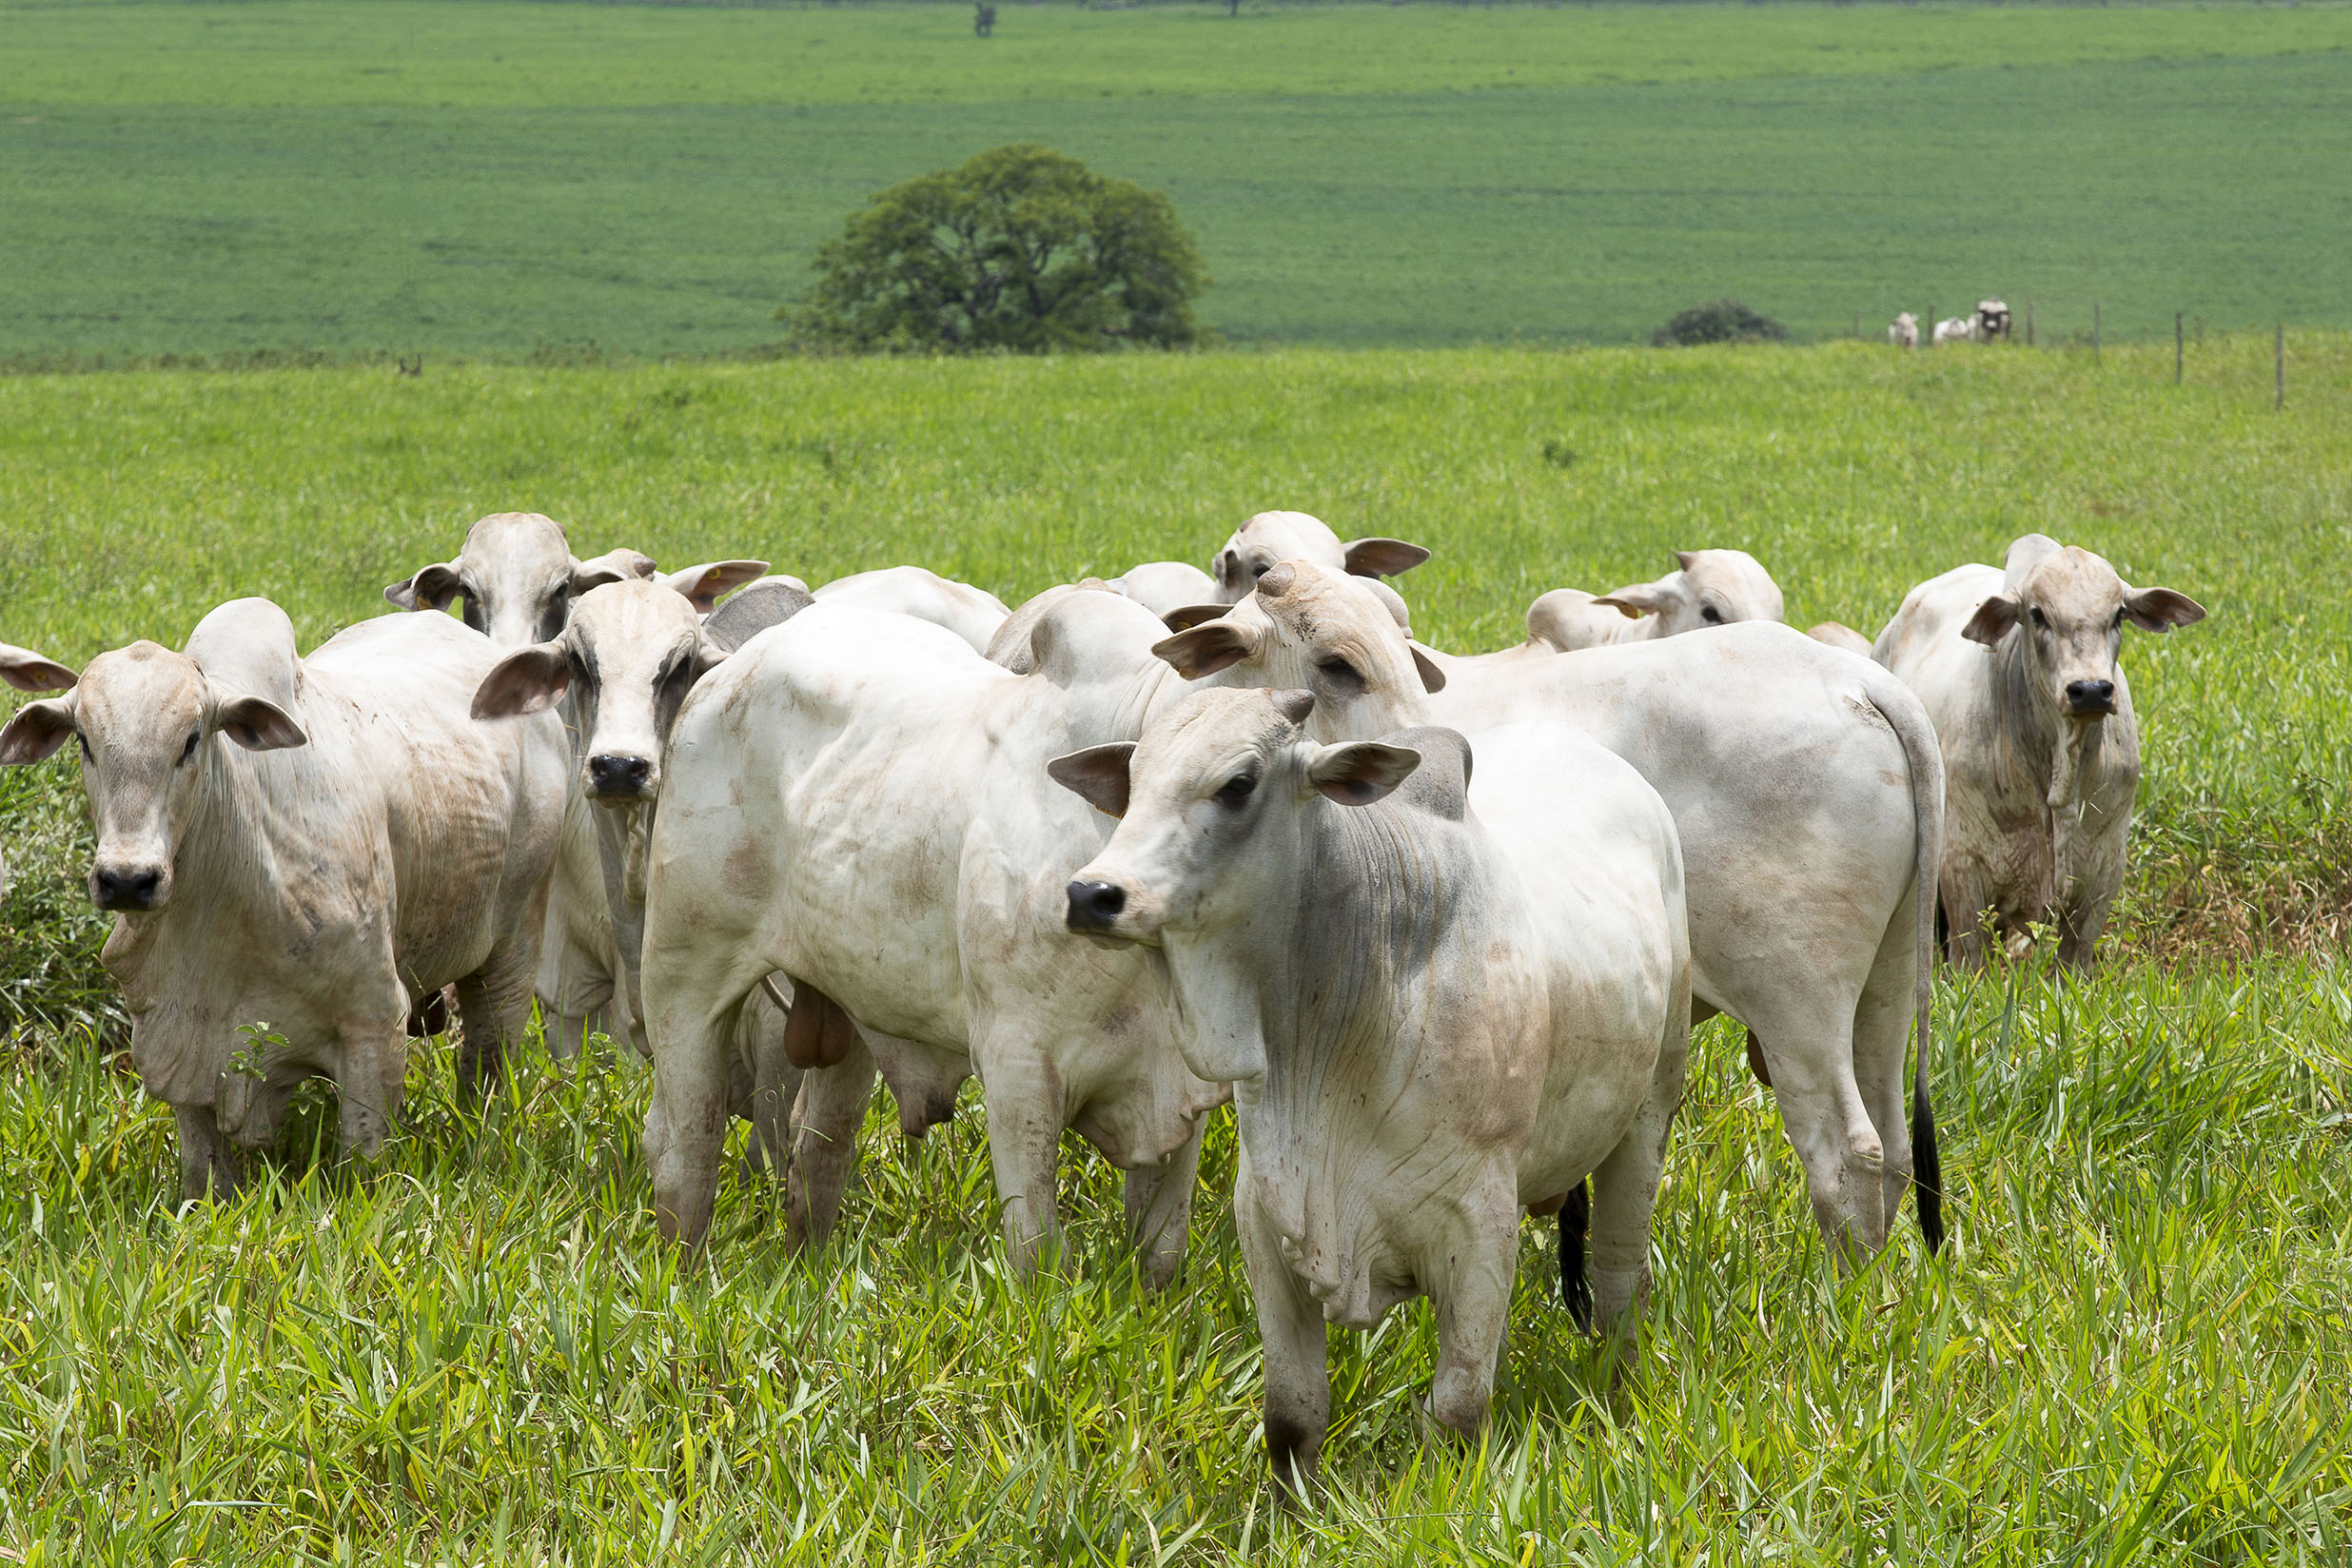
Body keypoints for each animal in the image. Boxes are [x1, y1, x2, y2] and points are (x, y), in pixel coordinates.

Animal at [0, 600, 565, 1198]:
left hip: (515, 945)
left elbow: (363, 1167)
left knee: (489, 1058)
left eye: (191, 739)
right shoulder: (175, 1044)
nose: (128, 880)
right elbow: (205, 1175)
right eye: (83, 740)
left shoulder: (376, 1025)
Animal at [634, 592, 1235, 1279]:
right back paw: (682, 1275)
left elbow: (1161, 1251)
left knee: (819, 1148)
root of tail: (724, 674)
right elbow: (1036, 1252)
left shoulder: (1182, 1092)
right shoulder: (1017, 1069)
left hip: (849, 997)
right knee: (686, 1144)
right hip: (682, 974)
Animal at [1052, 690, 1689, 1492]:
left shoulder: (1482, 1227)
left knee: (1618, 1275)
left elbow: (1458, 1412)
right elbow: (1290, 1418)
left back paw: (1619, 1387)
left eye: (1239, 784)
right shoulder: (1266, 1219)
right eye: (1134, 781)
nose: (1092, 894)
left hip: (1651, 1109)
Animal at [1151, 563, 1945, 1257]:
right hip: (1887, 987)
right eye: (1338, 664)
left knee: (1847, 1156)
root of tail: (1863, 680)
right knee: (1894, 1148)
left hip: (1795, 1001)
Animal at [1872, 534, 2204, 969]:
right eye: (2037, 614)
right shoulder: (1960, 871)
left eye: (2118, 614)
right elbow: (1969, 962)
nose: (2091, 690)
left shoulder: (2102, 876)